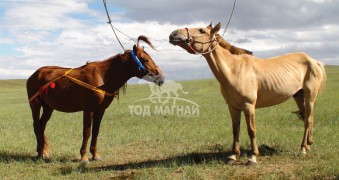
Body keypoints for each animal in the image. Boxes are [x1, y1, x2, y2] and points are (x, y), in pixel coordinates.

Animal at [26, 35, 165, 162]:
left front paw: (95, 154)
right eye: (145, 59)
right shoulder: (88, 109)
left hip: (48, 107)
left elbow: (96, 131)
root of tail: (34, 75)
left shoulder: (100, 110)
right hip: (35, 105)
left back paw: (42, 152)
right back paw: (39, 154)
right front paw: (83, 156)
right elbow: (87, 132)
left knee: (42, 125)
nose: (161, 77)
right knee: (36, 125)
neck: (102, 77)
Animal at [170, 22, 326, 166]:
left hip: (310, 96)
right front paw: (233, 156)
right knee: (308, 117)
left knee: (308, 120)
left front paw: (253, 157)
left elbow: (251, 130)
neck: (234, 70)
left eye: (202, 30)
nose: (174, 34)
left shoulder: (248, 105)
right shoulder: (233, 107)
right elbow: (235, 130)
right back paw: (308, 145)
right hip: (298, 96)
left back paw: (303, 149)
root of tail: (314, 61)